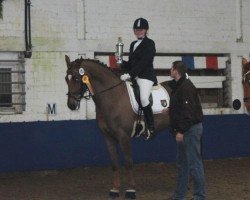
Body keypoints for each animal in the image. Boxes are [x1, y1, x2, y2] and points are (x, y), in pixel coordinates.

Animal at [64, 54, 171, 198]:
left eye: (76, 78)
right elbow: (114, 164)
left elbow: (128, 162)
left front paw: (131, 190)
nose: (71, 105)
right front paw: (114, 189)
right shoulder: (108, 137)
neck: (113, 97)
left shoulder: (123, 136)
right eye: (66, 78)